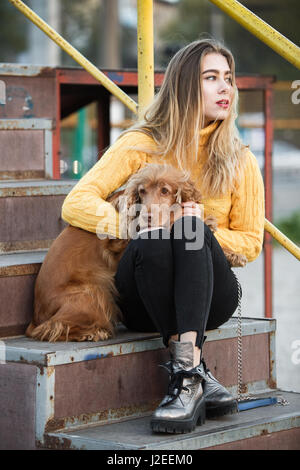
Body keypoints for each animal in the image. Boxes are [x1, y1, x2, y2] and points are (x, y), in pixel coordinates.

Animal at [25, 163, 246, 344]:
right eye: (142, 191)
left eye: (165, 191)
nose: (147, 216)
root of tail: (36, 315)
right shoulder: (120, 242)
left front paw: (233, 254)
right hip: (92, 293)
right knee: (51, 327)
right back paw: (92, 333)